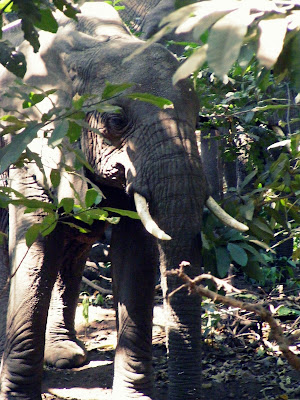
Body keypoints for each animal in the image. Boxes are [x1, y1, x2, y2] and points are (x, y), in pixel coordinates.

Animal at [0, 3, 246, 400]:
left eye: (199, 119)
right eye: (116, 121)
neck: (92, 44)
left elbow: (135, 251)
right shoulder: (29, 139)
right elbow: (37, 242)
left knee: (74, 248)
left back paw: (66, 355)